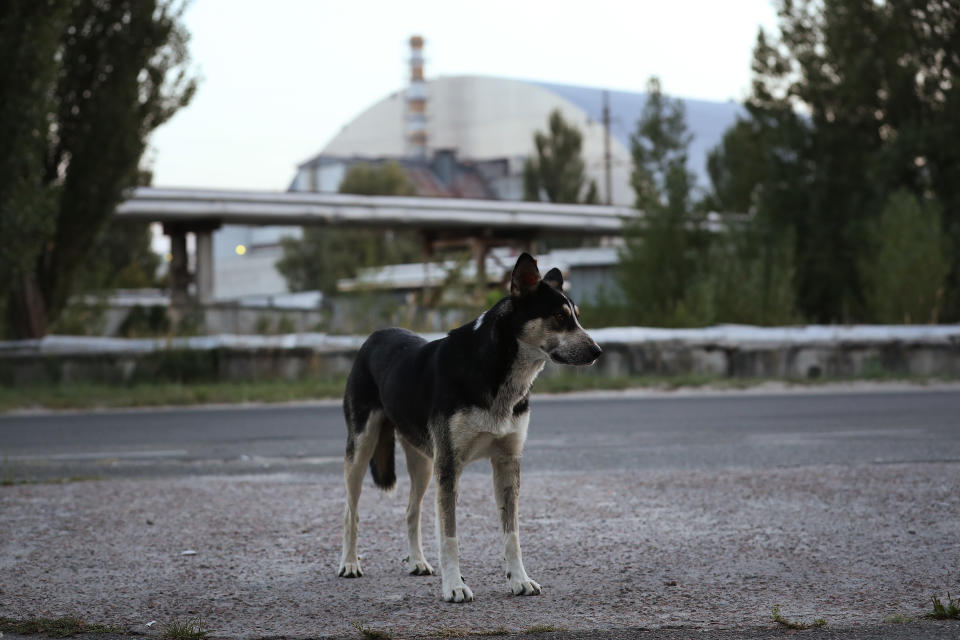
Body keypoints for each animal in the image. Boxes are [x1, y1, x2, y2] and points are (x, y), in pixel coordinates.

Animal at [338, 252, 600, 604]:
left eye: (577, 317)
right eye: (559, 317)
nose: (598, 351)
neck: (497, 372)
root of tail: (374, 335)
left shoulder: (506, 463)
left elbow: (511, 533)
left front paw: (519, 580)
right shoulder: (449, 467)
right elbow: (449, 535)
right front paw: (454, 586)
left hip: (423, 462)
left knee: (411, 511)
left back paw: (418, 561)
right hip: (362, 448)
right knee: (351, 511)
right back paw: (350, 563)